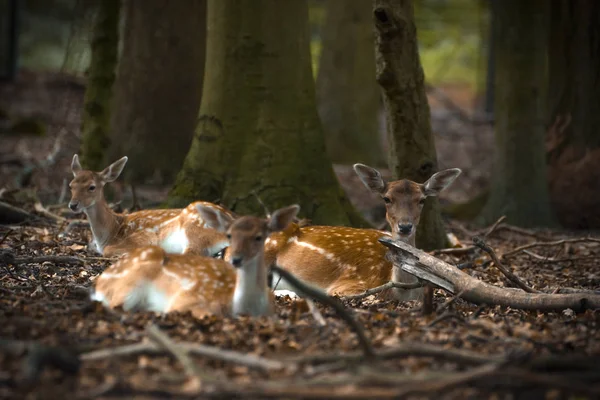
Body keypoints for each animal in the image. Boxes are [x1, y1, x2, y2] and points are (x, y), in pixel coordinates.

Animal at [68, 155, 232, 258]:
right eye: (71, 185)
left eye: (92, 187)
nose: (73, 205)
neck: (112, 231)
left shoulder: (145, 236)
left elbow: (108, 250)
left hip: (195, 229)